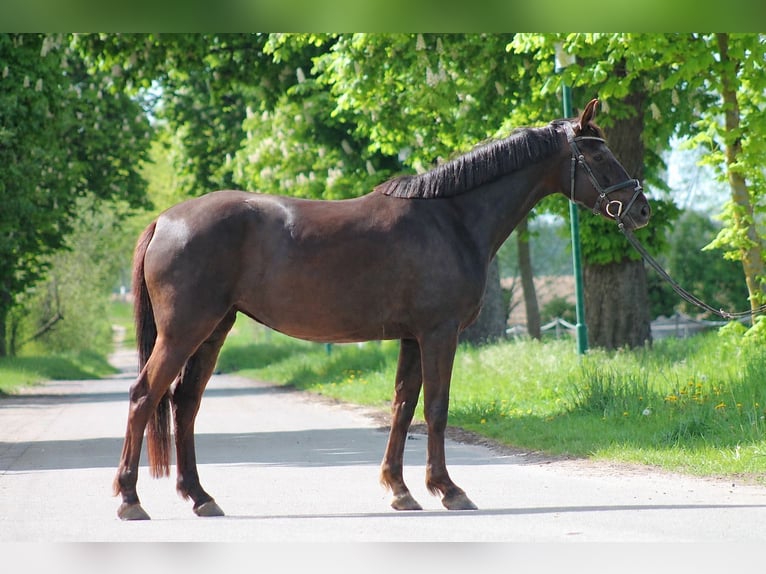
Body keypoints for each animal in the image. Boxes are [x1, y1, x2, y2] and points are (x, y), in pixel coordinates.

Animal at [114, 98, 650, 520]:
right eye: (598, 153)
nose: (641, 209)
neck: (452, 218)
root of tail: (166, 220)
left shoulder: (413, 337)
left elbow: (402, 406)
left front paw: (400, 490)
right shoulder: (439, 333)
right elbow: (436, 408)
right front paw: (448, 490)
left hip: (213, 331)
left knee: (184, 404)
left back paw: (200, 497)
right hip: (185, 332)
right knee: (144, 396)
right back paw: (129, 499)